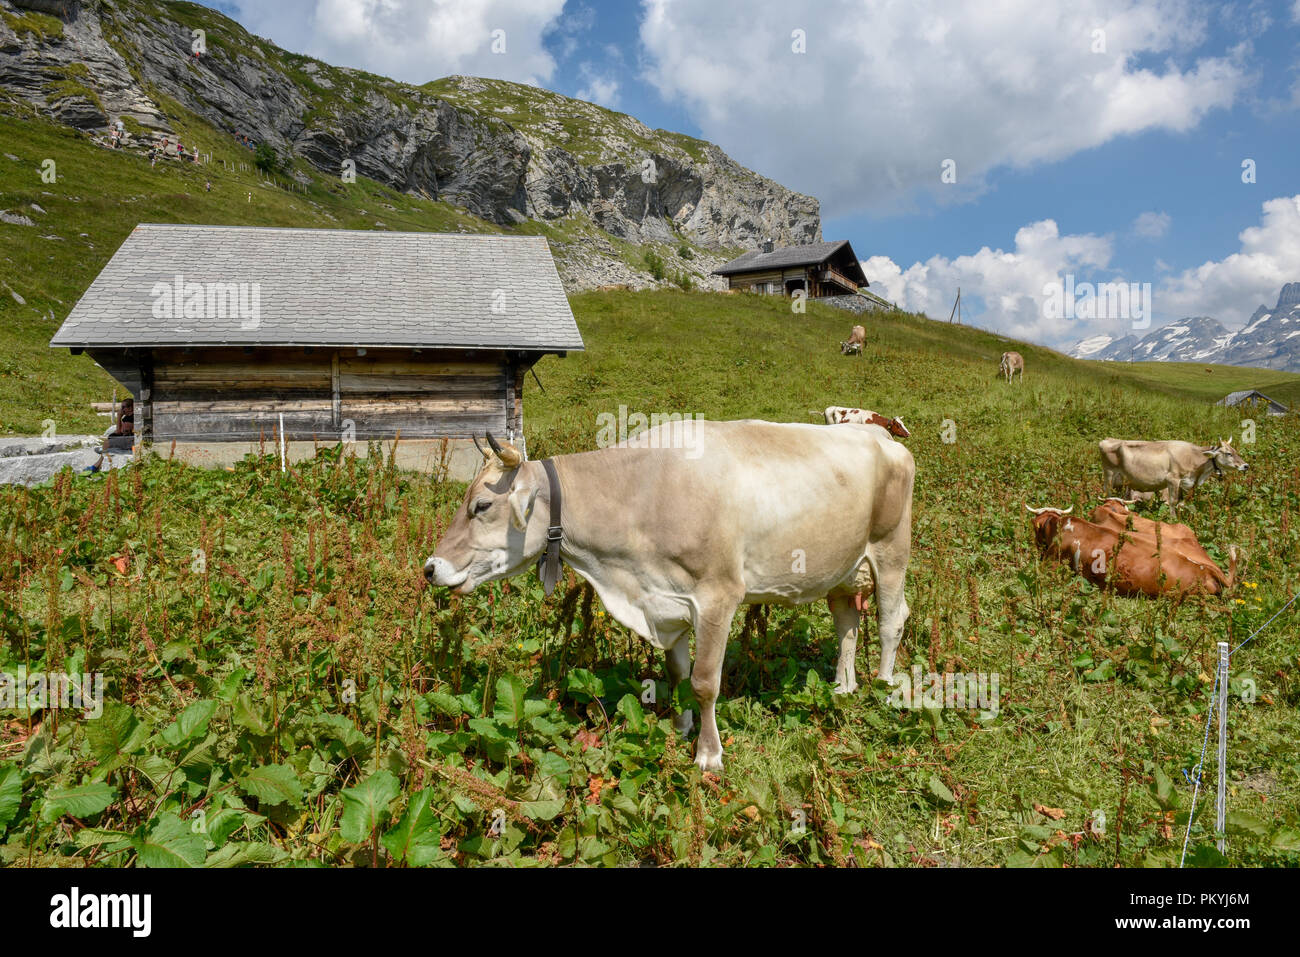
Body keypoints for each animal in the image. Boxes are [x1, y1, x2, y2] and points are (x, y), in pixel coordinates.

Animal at [424, 422, 915, 771]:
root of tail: (879, 435)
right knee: (847, 623)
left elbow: (704, 682)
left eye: (481, 506)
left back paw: (884, 689)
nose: (430, 568)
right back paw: (843, 686)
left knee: (892, 619)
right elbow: (678, 674)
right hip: (843, 568)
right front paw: (681, 727)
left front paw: (708, 754)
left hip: (891, 550)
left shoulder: (718, 596)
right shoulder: (667, 604)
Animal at [1098, 438, 1248, 518]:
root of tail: (1107, 440)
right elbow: (1173, 501)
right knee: (1108, 493)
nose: (1246, 466)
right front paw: (1173, 518)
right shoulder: (1173, 479)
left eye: (1235, 451)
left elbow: (1182, 501)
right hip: (1109, 474)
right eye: (1228, 453)